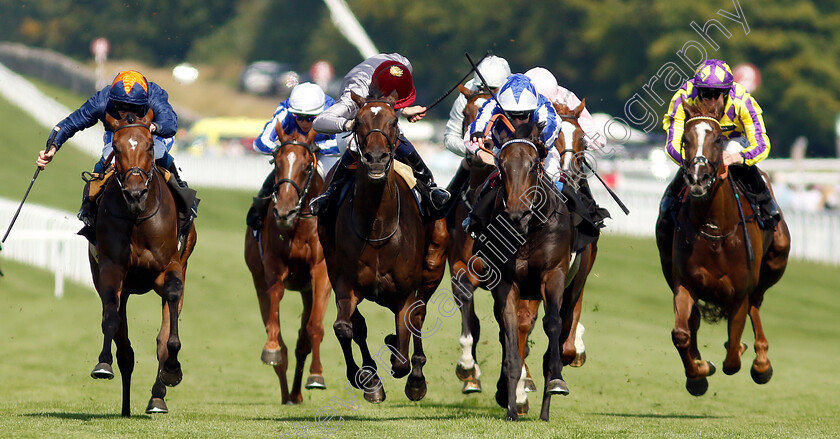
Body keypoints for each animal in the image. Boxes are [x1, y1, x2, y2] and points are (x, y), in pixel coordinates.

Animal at [89, 109, 199, 416]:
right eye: (116, 148)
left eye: (150, 146)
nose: (135, 193)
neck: (138, 218)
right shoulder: (111, 270)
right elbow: (111, 318)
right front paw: (103, 363)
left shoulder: (170, 267)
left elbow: (167, 331)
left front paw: (172, 371)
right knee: (125, 347)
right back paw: (125, 406)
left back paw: (157, 396)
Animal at [243, 125, 332, 404]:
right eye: (276, 162)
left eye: (306, 166)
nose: (284, 212)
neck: (300, 226)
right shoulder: (273, 267)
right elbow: (275, 324)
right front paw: (271, 349)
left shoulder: (321, 272)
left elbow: (315, 327)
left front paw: (317, 375)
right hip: (258, 280)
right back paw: (287, 393)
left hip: (307, 291)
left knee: (303, 341)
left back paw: (297, 392)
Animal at [316, 93, 450, 406]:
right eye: (359, 121)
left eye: (393, 122)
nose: (376, 159)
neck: (377, 227)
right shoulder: (345, 282)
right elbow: (345, 328)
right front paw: (369, 379)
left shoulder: (406, 292)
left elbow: (403, 351)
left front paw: (409, 374)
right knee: (359, 326)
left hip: (433, 267)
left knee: (419, 317)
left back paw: (416, 377)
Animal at [480, 121, 576, 422]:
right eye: (501, 163)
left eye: (534, 164)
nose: (516, 216)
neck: (529, 231)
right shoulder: (506, 284)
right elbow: (510, 338)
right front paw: (511, 408)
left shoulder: (554, 274)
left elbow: (553, 323)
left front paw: (556, 380)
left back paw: (545, 410)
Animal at [656, 101, 788, 398]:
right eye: (685, 140)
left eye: (718, 139)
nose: (697, 178)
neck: (715, 231)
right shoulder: (685, 284)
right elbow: (681, 334)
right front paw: (698, 373)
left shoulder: (738, 294)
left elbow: (732, 360)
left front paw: (741, 352)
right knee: (693, 322)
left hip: (775, 261)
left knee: (756, 303)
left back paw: (761, 364)